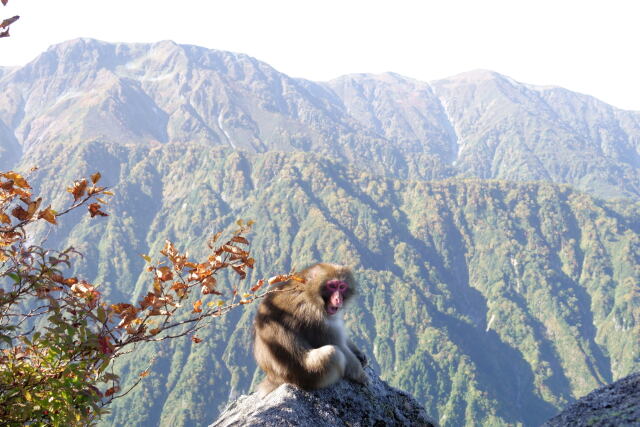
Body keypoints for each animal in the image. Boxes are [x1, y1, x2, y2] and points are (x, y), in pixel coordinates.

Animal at [252, 264, 368, 398]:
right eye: (332, 286)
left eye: (342, 287)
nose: (338, 299)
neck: (309, 290)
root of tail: (275, 378)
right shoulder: (314, 316)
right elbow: (340, 346)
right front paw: (360, 375)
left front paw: (358, 352)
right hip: (311, 375)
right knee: (333, 353)